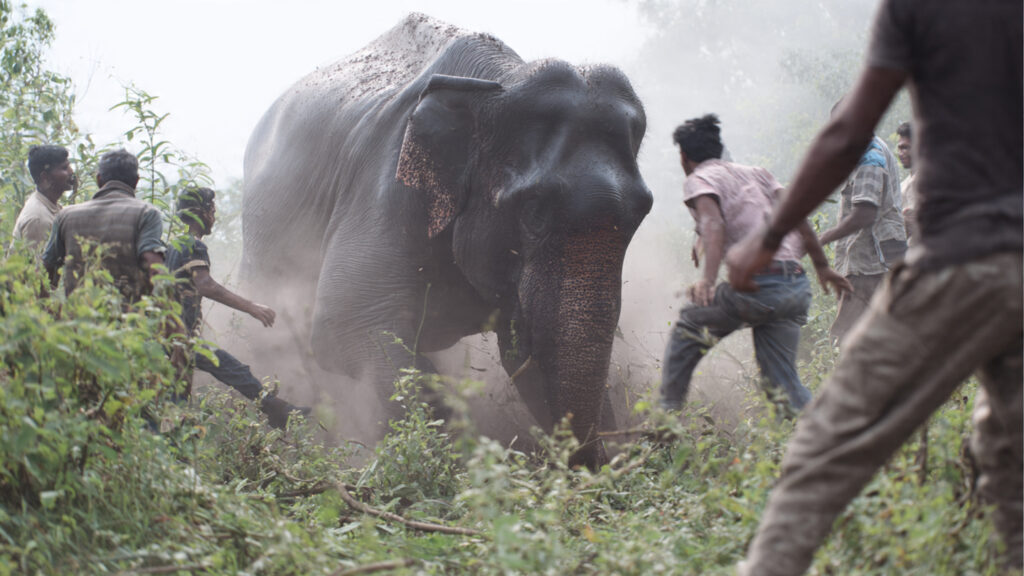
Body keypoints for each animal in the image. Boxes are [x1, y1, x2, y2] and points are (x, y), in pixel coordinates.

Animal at [241, 13, 652, 468]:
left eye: (643, 211)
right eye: (534, 211)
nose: (615, 458)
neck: (497, 83)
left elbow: (523, 354)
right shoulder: (384, 182)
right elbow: (345, 326)